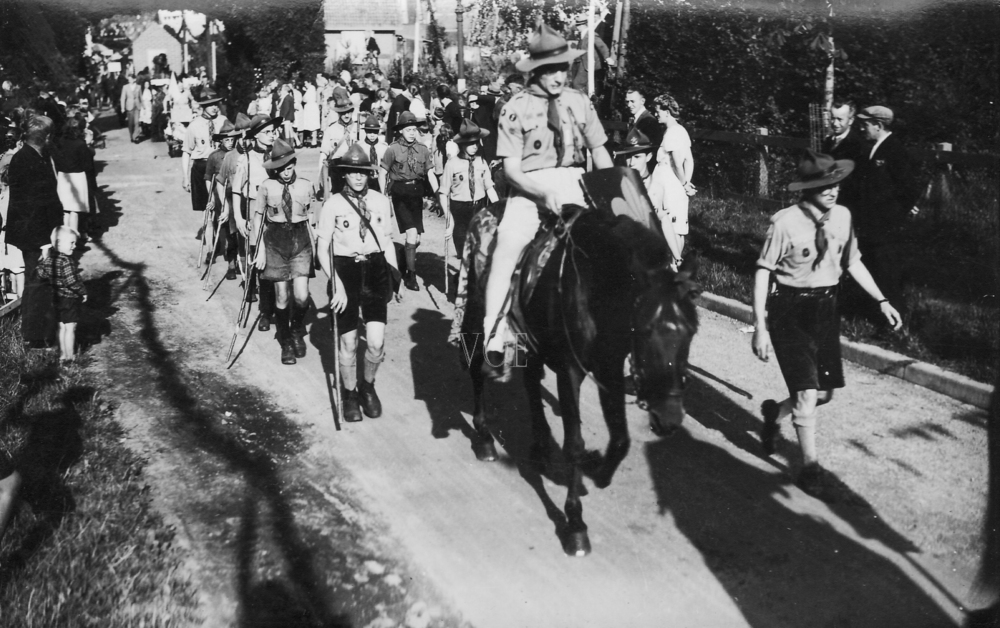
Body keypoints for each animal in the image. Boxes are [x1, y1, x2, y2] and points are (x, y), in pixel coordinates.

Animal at [455, 201, 700, 556]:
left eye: (692, 331)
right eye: (646, 330)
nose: (669, 418)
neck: (593, 285)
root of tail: (483, 211)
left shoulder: (609, 368)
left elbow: (620, 440)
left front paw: (597, 469)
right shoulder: (571, 370)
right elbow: (574, 444)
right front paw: (575, 524)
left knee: (531, 382)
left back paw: (541, 446)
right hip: (477, 312)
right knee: (477, 368)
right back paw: (485, 436)